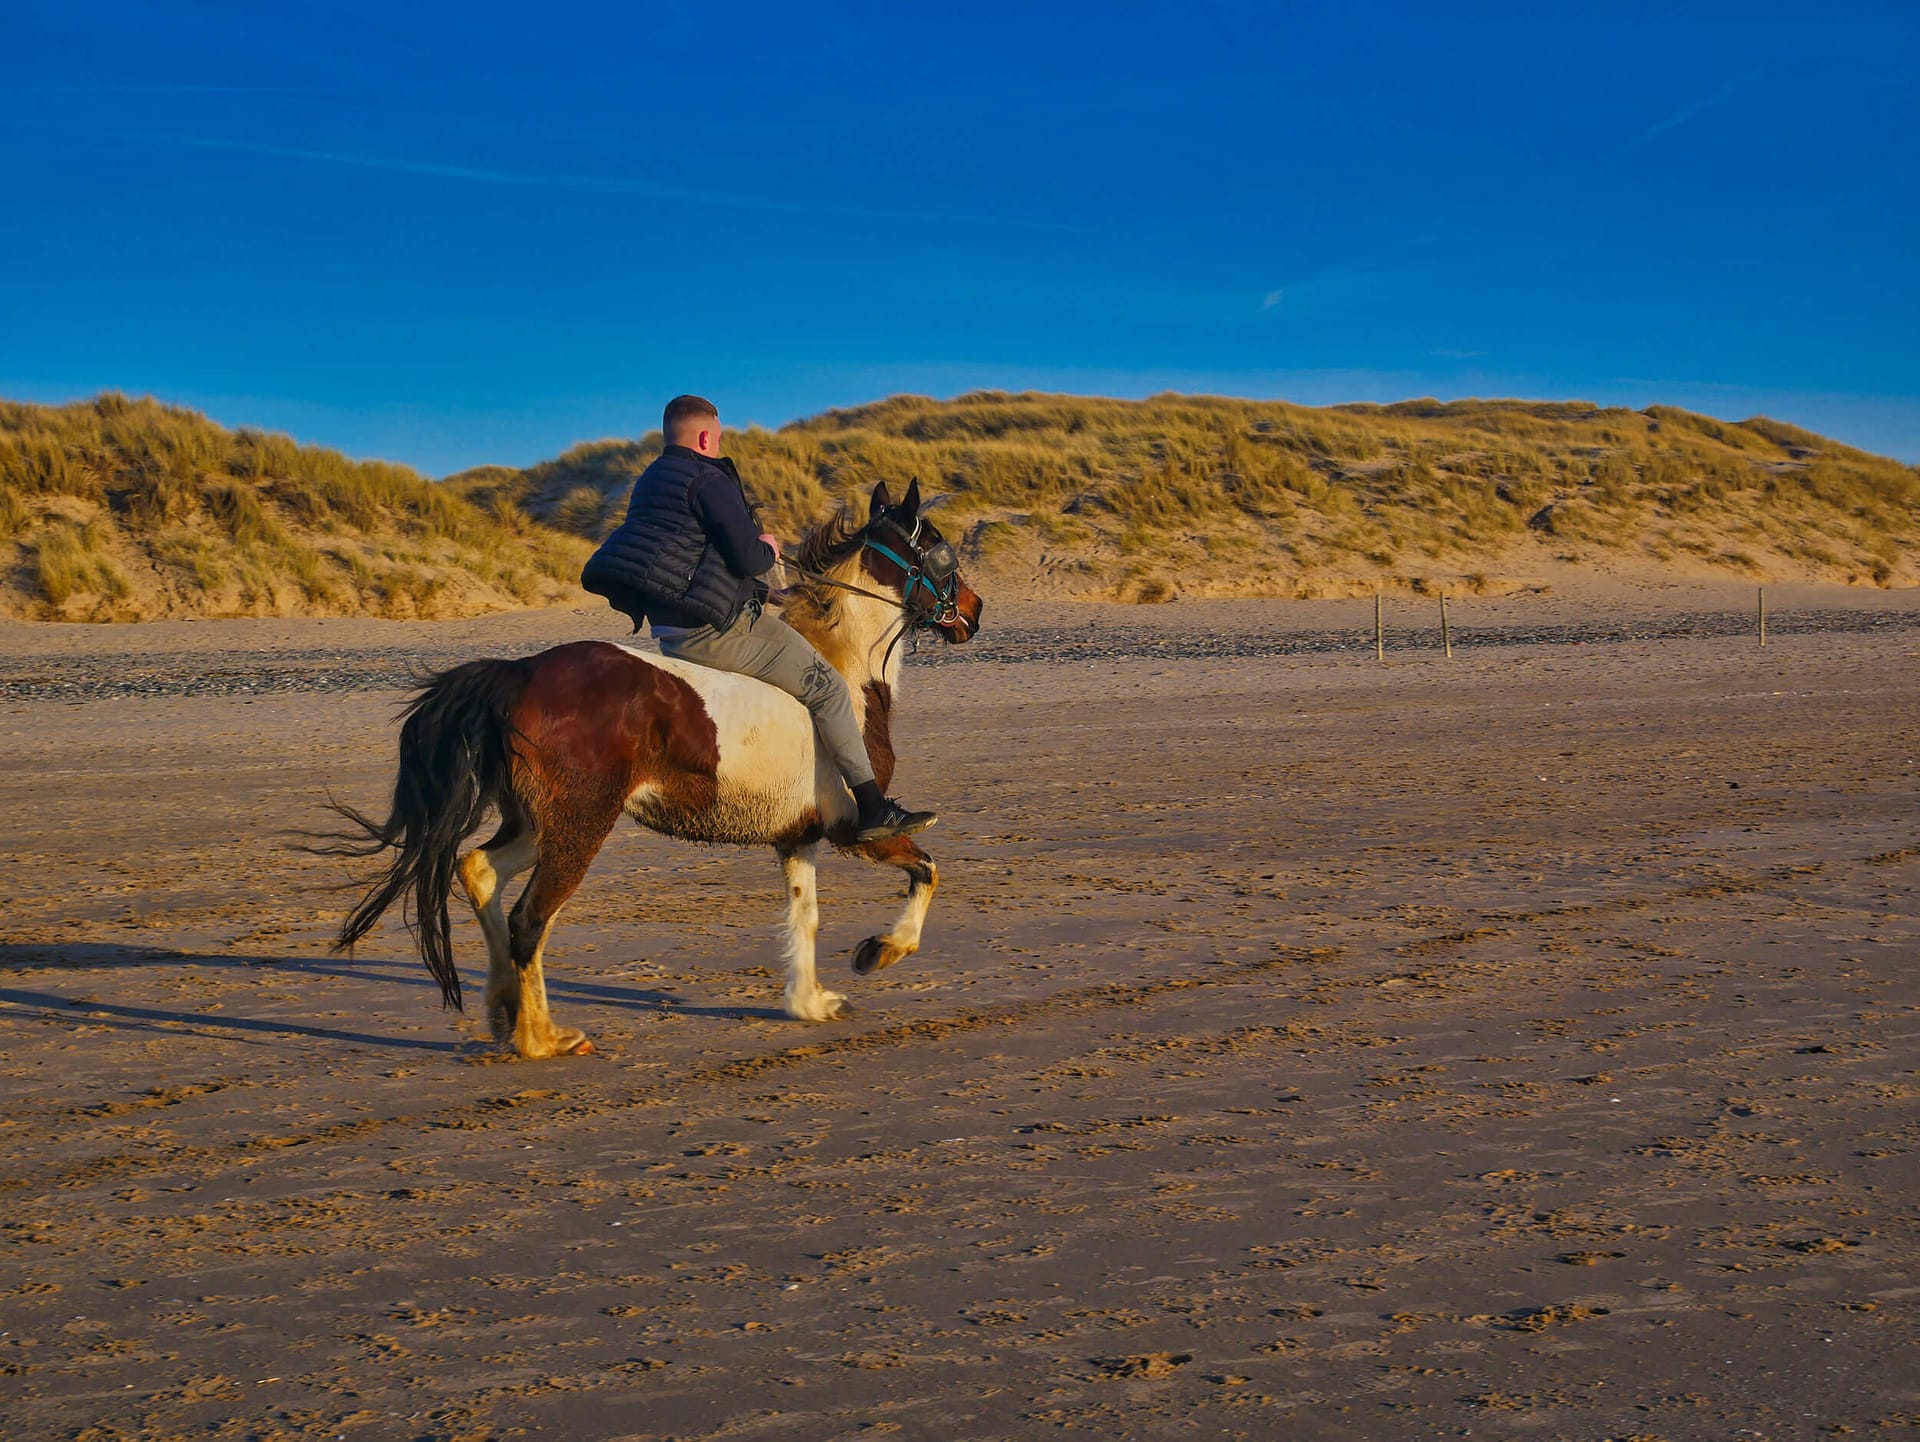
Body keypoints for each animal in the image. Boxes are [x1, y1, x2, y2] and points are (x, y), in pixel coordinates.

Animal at [324, 479, 983, 1059]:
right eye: (938, 547)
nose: (975, 611)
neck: (845, 669)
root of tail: (520, 672)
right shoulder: (855, 828)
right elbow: (927, 869)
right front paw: (880, 951)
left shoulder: (798, 838)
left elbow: (806, 916)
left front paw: (810, 1002)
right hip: (581, 825)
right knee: (529, 919)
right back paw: (542, 1039)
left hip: (543, 824)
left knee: (479, 872)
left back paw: (504, 1012)